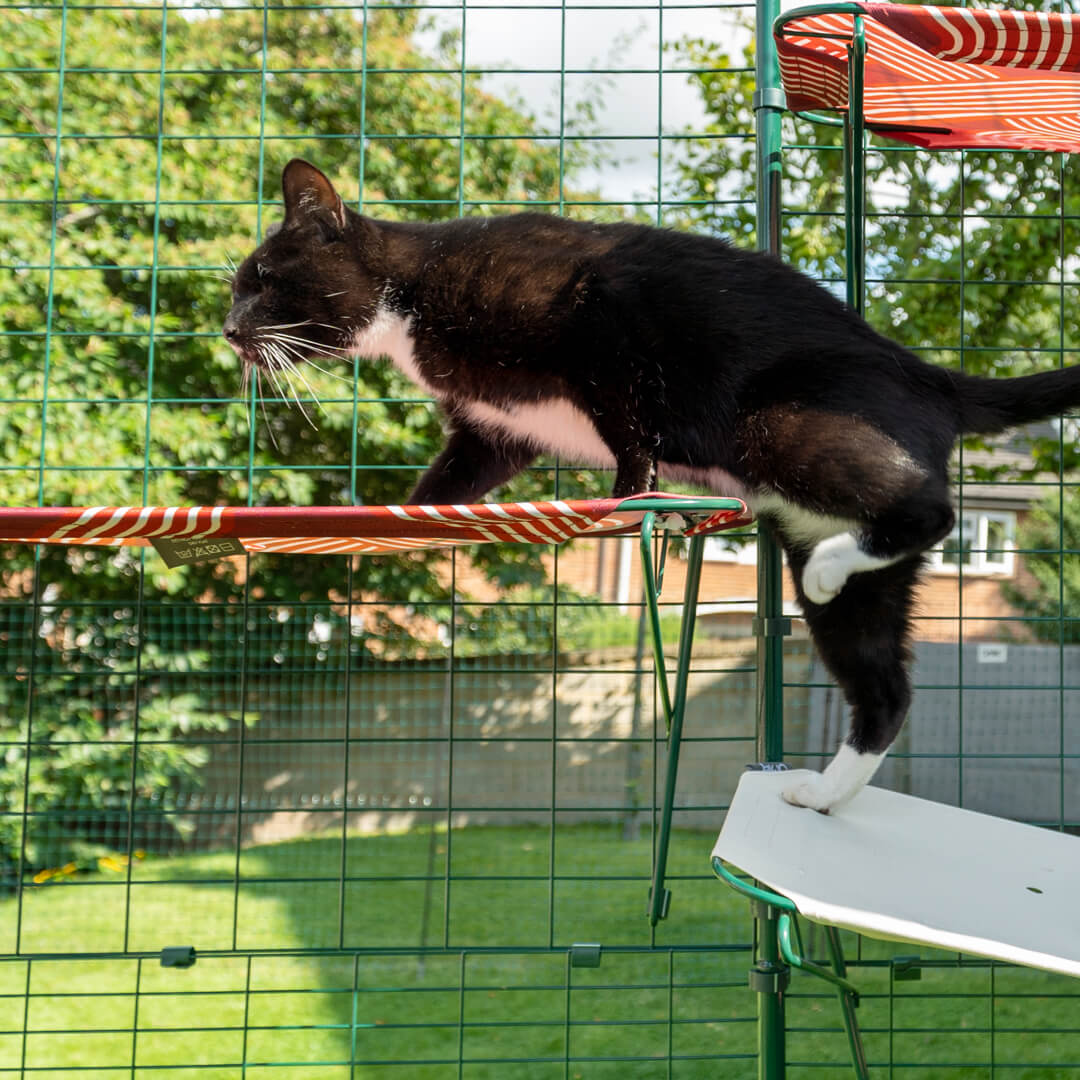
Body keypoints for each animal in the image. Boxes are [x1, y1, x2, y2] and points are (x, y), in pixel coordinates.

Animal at [223, 159, 1080, 812]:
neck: (410, 299)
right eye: (238, 287)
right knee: (884, 686)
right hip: (828, 551)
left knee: (929, 509)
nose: (229, 330)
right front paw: (405, 515)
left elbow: (631, 425)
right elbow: (452, 476)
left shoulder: (605, 321)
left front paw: (629, 491)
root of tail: (929, 375)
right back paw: (825, 790)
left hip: (779, 425)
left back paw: (844, 562)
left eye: (261, 279)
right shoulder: (495, 428)